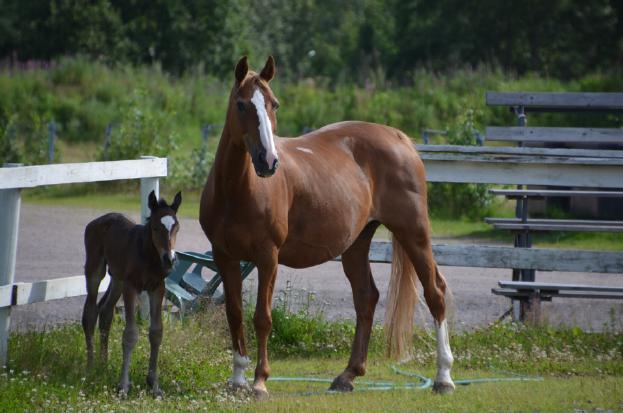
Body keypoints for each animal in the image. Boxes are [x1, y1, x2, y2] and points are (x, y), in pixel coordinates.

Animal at [81, 190, 182, 396]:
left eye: (176, 227)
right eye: (155, 228)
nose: (169, 259)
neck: (149, 256)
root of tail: (98, 220)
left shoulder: (157, 288)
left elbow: (156, 332)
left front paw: (154, 385)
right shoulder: (131, 287)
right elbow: (130, 334)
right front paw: (123, 386)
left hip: (117, 278)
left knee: (105, 312)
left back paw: (104, 364)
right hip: (96, 270)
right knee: (90, 313)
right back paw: (91, 366)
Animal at [200, 56, 454, 398]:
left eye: (274, 104)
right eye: (241, 105)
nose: (268, 161)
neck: (237, 190)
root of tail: (400, 139)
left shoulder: (268, 258)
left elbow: (262, 318)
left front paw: (260, 381)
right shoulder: (224, 257)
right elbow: (234, 314)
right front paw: (238, 378)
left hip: (414, 233)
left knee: (435, 292)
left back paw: (444, 377)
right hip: (357, 243)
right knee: (366, 298)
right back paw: (348, 374)